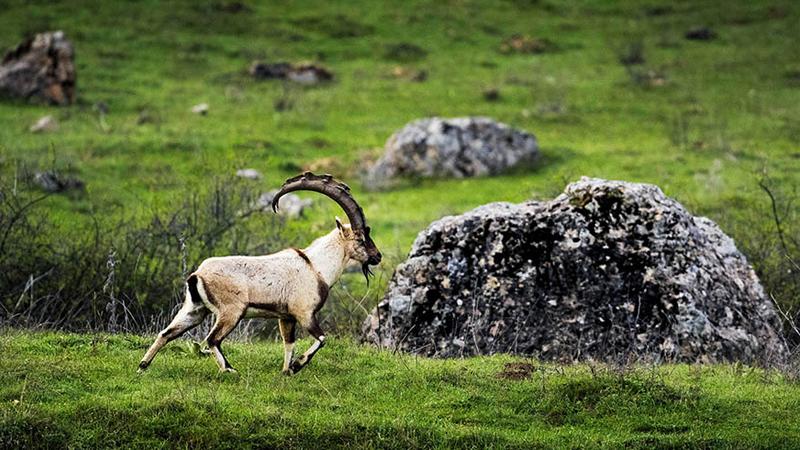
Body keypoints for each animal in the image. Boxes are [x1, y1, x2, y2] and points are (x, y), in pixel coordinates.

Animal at [138, 174, 382, 374]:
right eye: (361, 238)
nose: (377, 256)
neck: (316, 266)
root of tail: (197, 275)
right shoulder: (304, 312)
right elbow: (322, 339)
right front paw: (297, 366)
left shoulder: (286, 317)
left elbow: (289, 343)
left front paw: (286, 371)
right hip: (231, 311)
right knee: (212, 339)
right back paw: (229, 370)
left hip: (194, 309)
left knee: (167, 333)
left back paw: (143, 366)